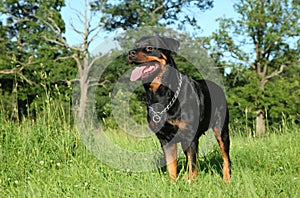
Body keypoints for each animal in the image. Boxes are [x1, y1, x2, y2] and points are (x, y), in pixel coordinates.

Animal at [127, 36, 231, 183]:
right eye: (135, 46)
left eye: (149, 47)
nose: (131, 53)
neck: (160, 95)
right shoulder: (165, 139)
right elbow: (171, 165)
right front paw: (173, 183)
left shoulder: (190, 135)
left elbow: (193, 166)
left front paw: (192, 184)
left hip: (221, 129)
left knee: (226, 157)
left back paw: (226, 180)